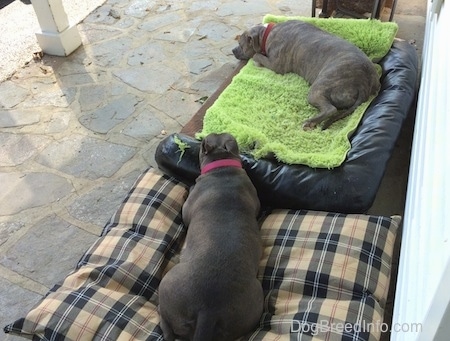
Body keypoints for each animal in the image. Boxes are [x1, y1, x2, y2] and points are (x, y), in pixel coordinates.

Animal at [159, 133, 262, 340]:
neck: (222, 167)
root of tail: (208, 311)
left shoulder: (187, 209)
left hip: (167, 283)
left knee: (165, 322)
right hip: (251, 308)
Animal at [232, 20, 380, 130]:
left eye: (240, 44)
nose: (233, 50)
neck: (266, 34)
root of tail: (363, 82)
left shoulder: (276, 65)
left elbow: (257, 55)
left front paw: (256, 60)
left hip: (319, 89)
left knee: (330, 109)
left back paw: (310, 122)